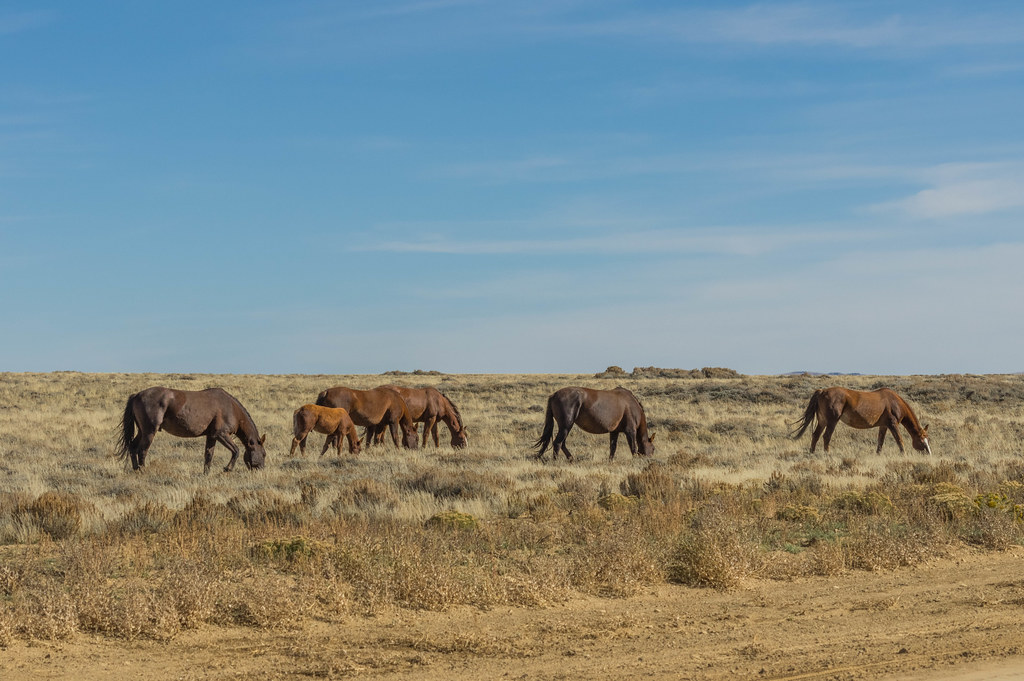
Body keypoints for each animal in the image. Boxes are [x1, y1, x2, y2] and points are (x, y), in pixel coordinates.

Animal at [116, 387, 267, 474]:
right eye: (264, 454)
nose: (261, 470)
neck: (231, 408)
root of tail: (136, 395)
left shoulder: (211, 436)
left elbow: (208, 455)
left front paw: (206, 474)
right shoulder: (221, 435)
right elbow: (236, 451)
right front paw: (227, 469)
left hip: (142, 431)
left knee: (132, 447)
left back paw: (136, 470)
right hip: (149, 432)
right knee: (142, 451)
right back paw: (143, 471)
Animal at [790, 387, 931, 455]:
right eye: (921, 439)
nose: (928, 453)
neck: (895, 402)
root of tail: (822, 391)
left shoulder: (884, 426)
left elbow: (880, 441)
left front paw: (878, 455)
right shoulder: (892, 424)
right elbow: (899, 440)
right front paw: (904, 455)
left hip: (822, 421)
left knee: (816, 435)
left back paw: (812, 453)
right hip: (832, 421)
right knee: (826, 436)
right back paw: (827, 454)